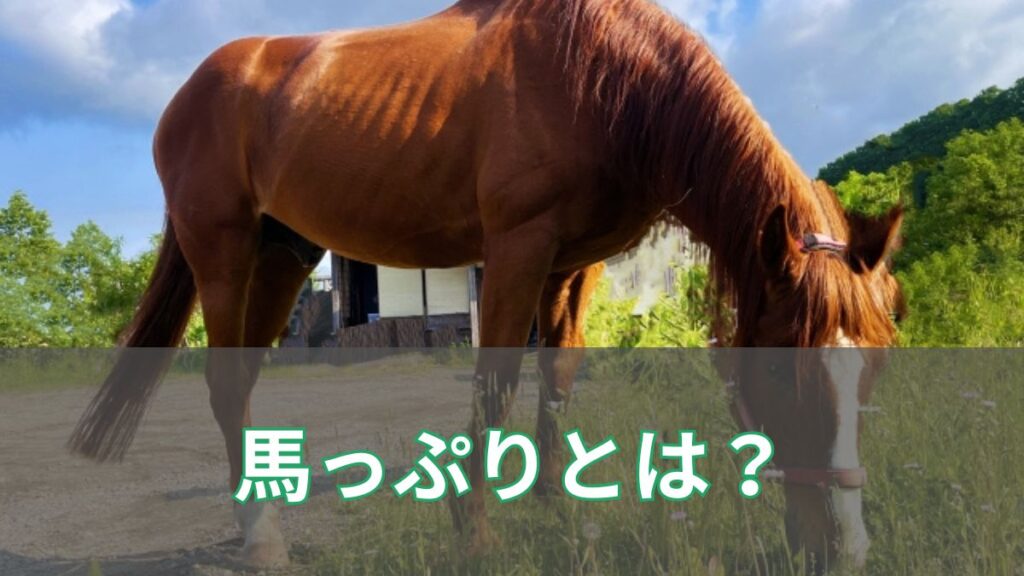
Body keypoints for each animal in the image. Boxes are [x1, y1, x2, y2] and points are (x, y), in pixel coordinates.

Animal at [69, 0, 904, 570]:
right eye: (779, 372)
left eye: (876, 368)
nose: (847, 549)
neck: (602, 80)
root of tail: (188, 92)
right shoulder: (517, 247)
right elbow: (495, 386)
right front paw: (475, 534)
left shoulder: (574, 265)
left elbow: (555, 383)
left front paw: (560, 513)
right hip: (223, 250)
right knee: (220, 382)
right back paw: (261, 538)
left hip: (284, 253)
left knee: (241, 381)